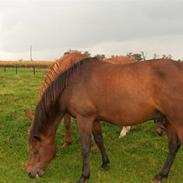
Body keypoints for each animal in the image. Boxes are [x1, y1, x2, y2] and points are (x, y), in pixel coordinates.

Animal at [26, 57, 183, 183]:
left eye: (35, 151)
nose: (29, 173)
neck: (72, 84)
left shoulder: (84, 119)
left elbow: (85, 148)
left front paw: (84, 176)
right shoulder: (94, 119)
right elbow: (99, 140)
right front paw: (105, 164)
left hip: (177, 120)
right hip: (169, 120)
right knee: (173, 146)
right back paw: (161, 175)